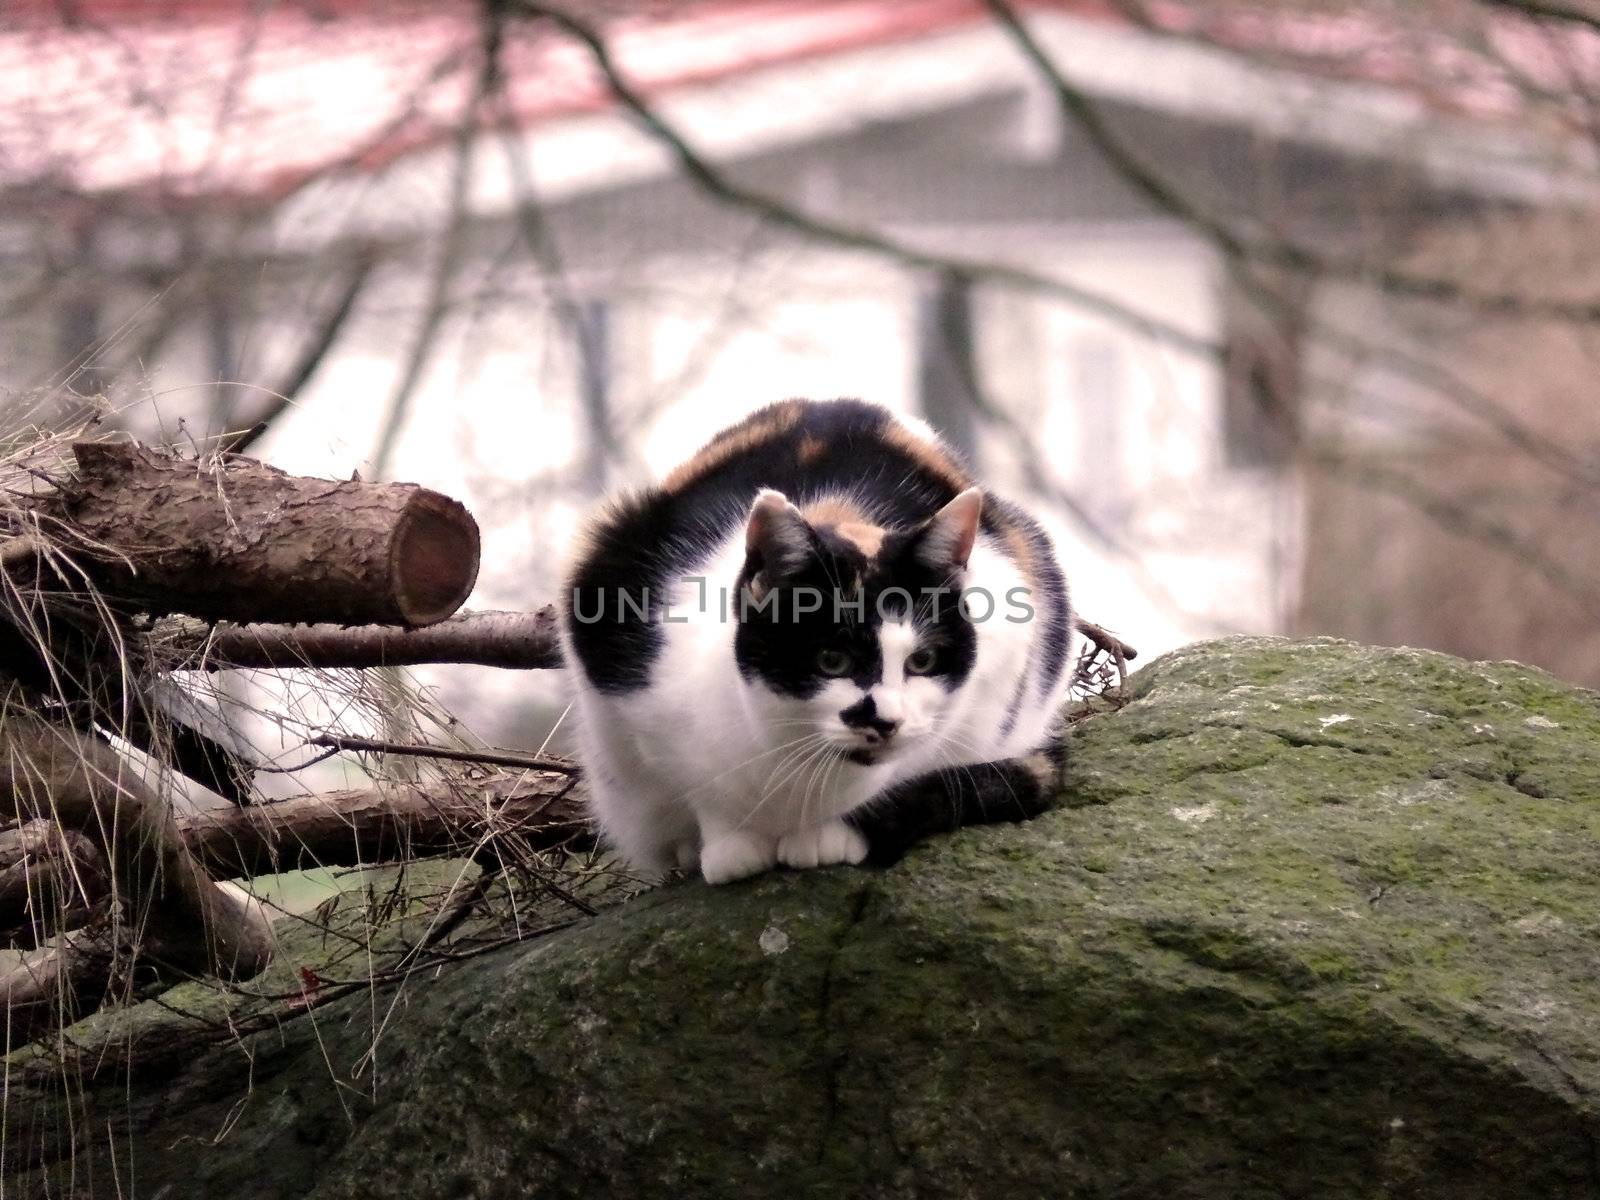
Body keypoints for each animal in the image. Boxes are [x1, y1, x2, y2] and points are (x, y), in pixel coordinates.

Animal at [563, 401, 1075, 883]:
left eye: (923, 661)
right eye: (832, 660)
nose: (885, 721)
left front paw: (827, 836)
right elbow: (699, 789)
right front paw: (731, 848)